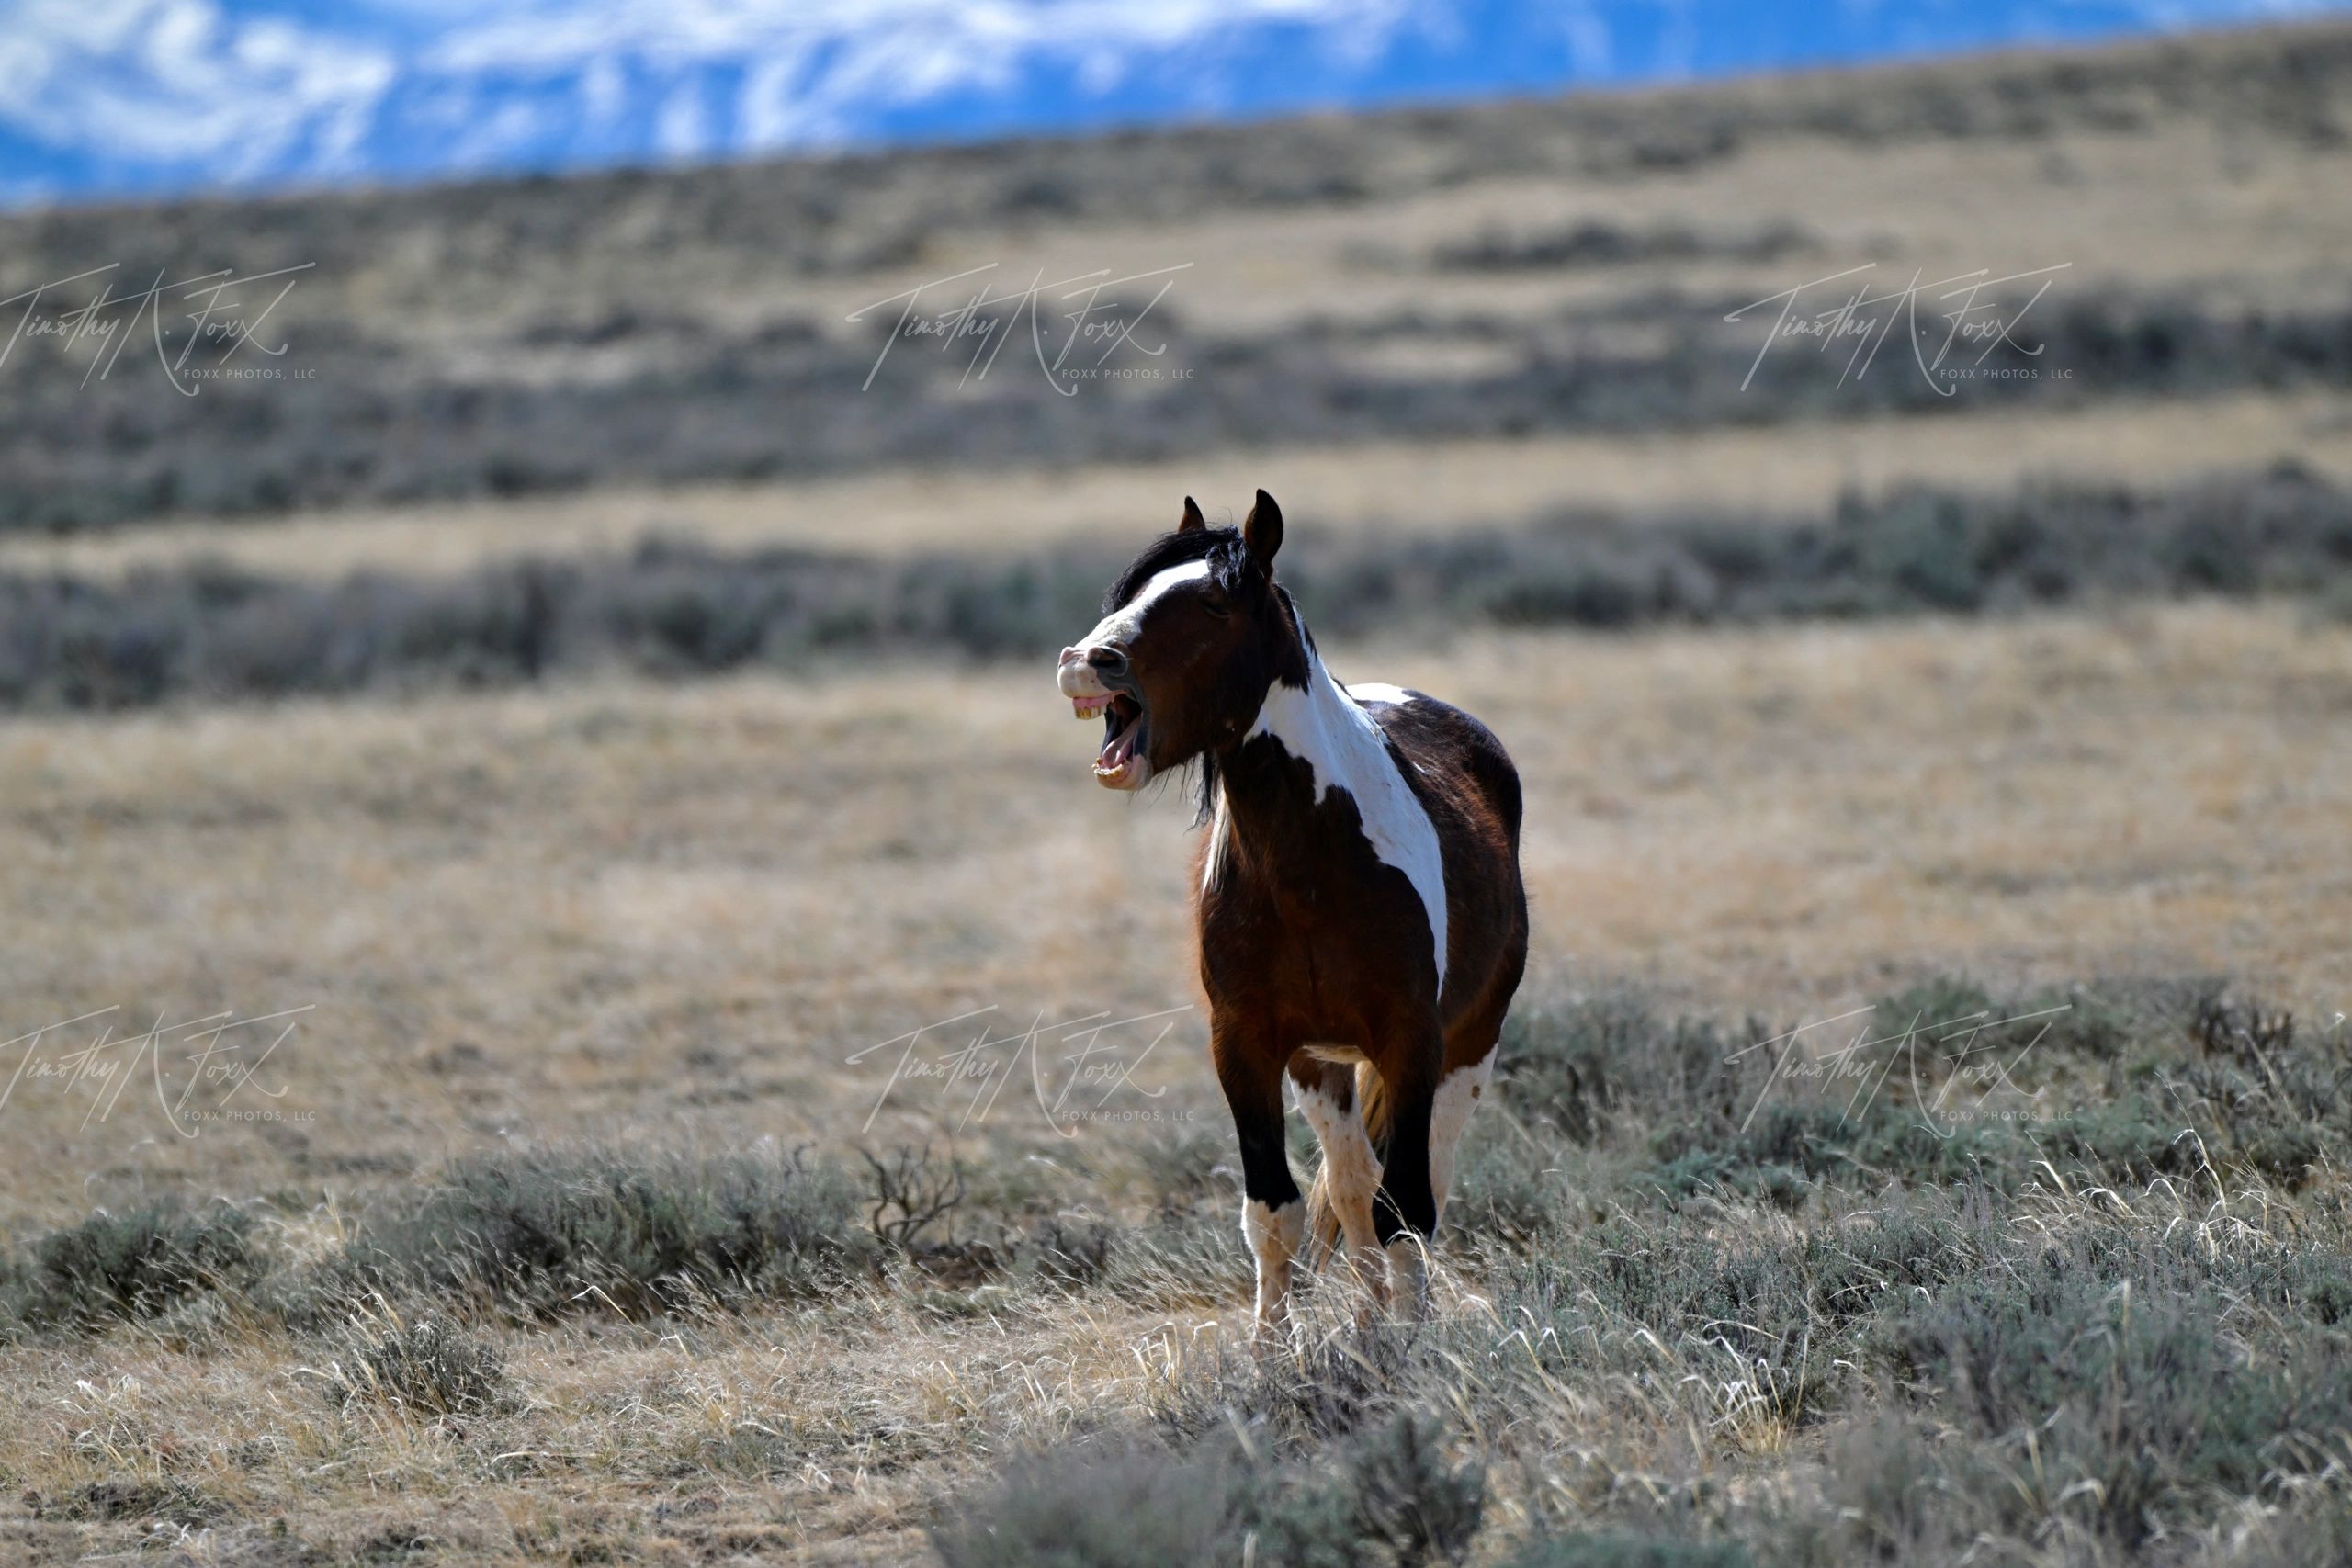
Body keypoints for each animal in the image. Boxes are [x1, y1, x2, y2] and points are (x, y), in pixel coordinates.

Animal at [1055, 490, 1529, 1332]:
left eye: (1212, 602)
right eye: (1129, 594)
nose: (1085, 661)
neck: (1311, 864)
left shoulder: (1414, 1041)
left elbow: (1407, 1208)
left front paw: (1415, 1347)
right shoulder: (1245, 1043)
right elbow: (1277, 1212)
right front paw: (1274, 1351)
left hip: (1471, 1042)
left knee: (1417, 1183)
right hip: (1322, 1063)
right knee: (1349, 1182)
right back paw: (1369, 1321)